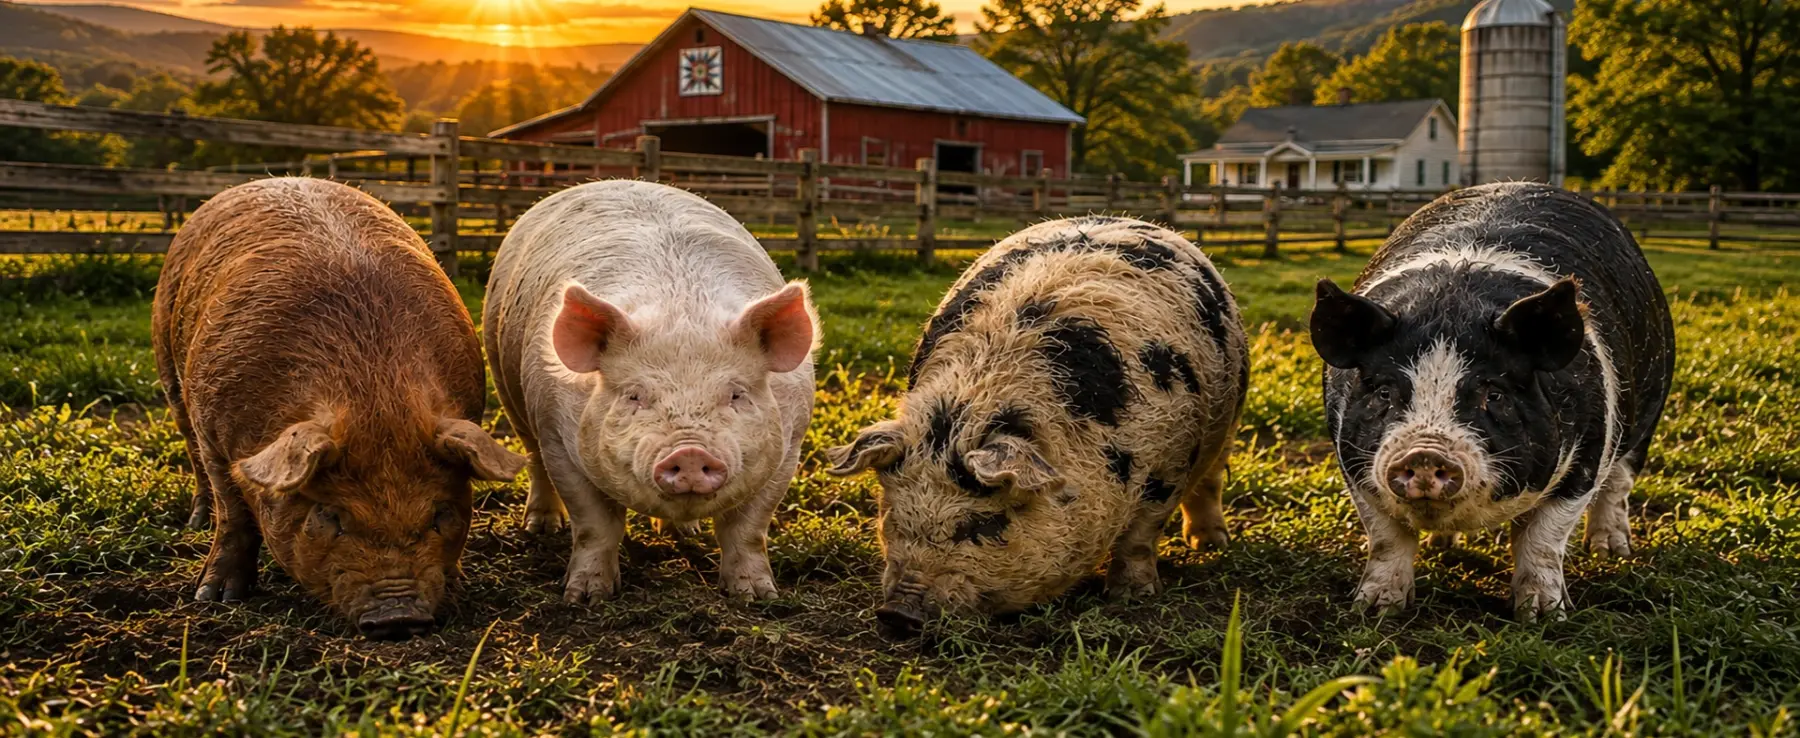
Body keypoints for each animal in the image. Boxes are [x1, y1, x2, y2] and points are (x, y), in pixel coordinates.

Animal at [152, 177, 525, 639]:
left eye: (440, 514)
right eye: (330, 515)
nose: (398, 617)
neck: (374, 393)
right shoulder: (212, 430)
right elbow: (234, 511)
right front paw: (215, 598)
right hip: (169, 369)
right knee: (193, 457)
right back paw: (197, 523)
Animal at [483, 180, 817, 602]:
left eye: (736, 394)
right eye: (634, 395)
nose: (690, 452)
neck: (682, 313)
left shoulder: (789, 446)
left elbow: (748, 530)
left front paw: (757, 597)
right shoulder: (558, 436)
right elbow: (595, 525)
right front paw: (586, 598)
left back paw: (686, 533)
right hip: (507, 387)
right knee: (533, 457)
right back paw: (541, 528)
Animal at [829, 215, 1249, 634]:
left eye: (984, 525)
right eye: (892, 515)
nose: (898, 613)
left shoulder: (1171, 463)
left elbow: (1141, 536)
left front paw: (1131, 597)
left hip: (1227, 425)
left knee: (1211, 480)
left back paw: (1211, 545)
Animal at [1310, 182, 1675, 620]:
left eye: (1494, 393)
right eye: (1384, 391)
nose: (1424, 454)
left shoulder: (1586, 457)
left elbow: (1543, 538)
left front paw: (1542, 616)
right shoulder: (1355, 466)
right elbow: (1386, 537)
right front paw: (1376, 609)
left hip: (1649, 413)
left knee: (1619, 484)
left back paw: (1611, 551)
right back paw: (1439, 546)